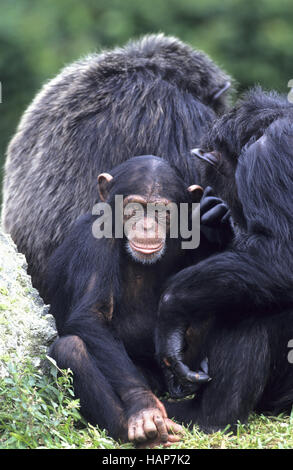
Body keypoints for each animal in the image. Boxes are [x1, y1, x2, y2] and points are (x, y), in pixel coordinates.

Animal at [46, 156, 230, 446]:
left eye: (160, 211)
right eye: (134, 208)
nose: (146, 225)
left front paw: (215, 221)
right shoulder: (94, 239)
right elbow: (91, 316)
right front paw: (145, 409)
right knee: (70, 349)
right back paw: (140, 430)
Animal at [156, 88, 292, 434]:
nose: (230, 208)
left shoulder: (266, 157)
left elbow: (281, 254)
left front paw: (171, 314)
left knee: (246, 306)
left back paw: (207, 415)